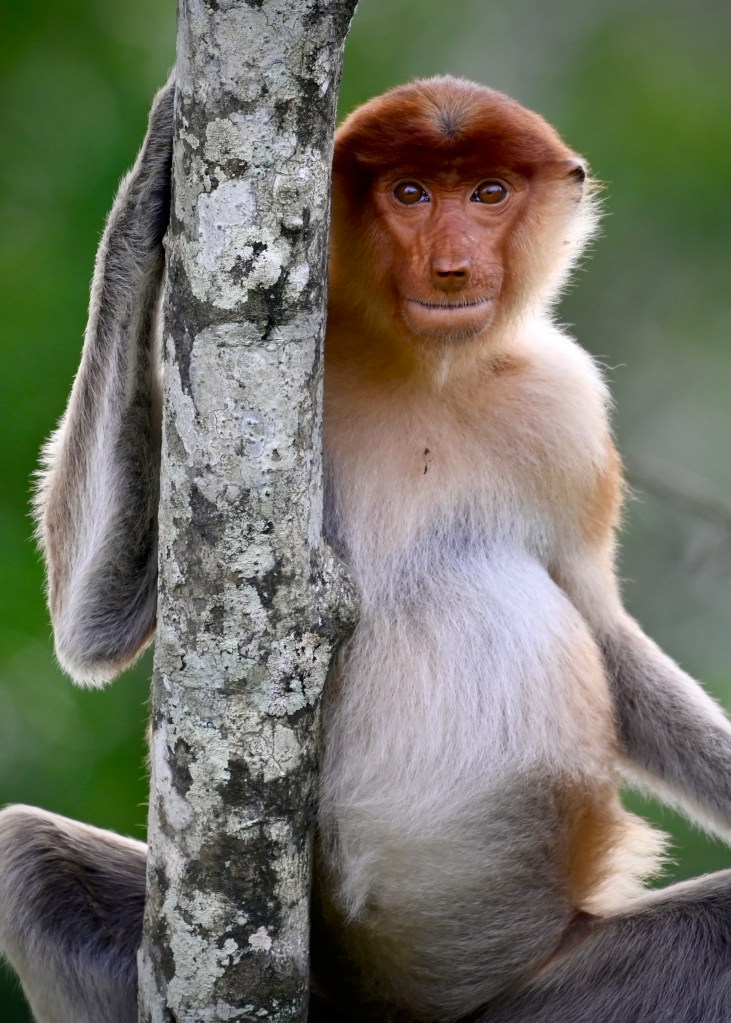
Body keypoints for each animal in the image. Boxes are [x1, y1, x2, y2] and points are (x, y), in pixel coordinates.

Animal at [1, 72, 731, 1023]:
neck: (429, 369)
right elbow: (96, 627)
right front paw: (152, 179)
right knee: (30, 859)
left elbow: (599, 627)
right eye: (409, 193)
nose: (452, 268)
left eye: (488, 193)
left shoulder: (568, 410)